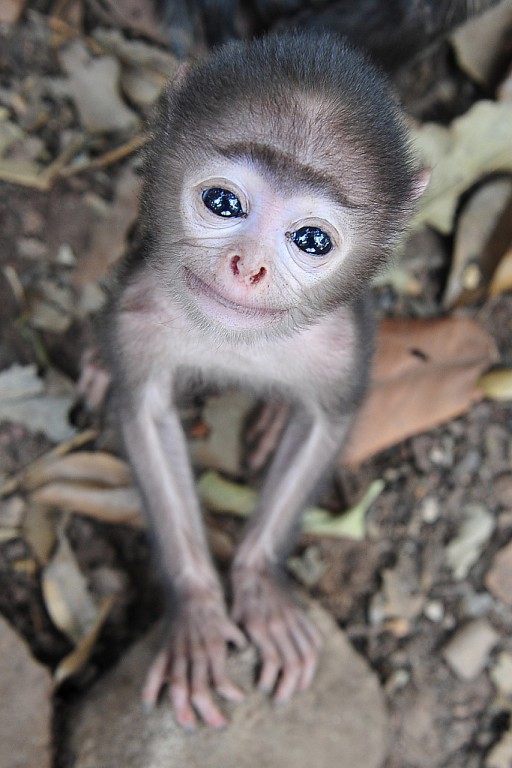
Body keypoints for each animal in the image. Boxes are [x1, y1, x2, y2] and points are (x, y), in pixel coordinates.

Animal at [105, 33, 424, 728]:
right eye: (223, 203)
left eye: (311, 239)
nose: (247, 266)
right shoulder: (137, 311)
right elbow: (144, 414)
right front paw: (198, 611)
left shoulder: (342, 344)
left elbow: (326, 423)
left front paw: (259, 587)